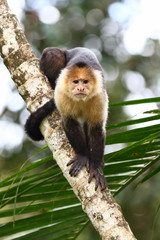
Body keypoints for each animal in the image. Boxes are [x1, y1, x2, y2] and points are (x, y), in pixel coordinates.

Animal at [25, 47, 109, 191]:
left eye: (85, 82)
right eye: (76, 82)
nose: (80, 88)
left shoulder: (99, 96)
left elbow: (96, 129)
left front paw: (95, 168)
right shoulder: (62, 93)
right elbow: (70, 123)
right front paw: (82, 156)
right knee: (53, 54)